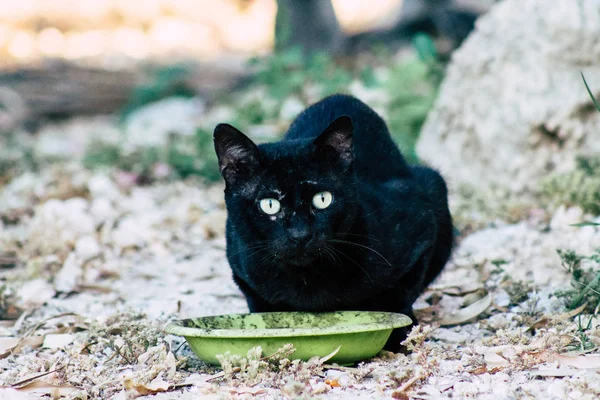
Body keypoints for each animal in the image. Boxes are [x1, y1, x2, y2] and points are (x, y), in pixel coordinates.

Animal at [213, 94, 452, 350]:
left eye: (322, 199)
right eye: (269, 204)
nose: (300, 235)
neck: (306, 280)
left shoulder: (422, 219)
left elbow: (400, 296)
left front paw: (398, 334)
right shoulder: (240, 262)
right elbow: (261, 306)